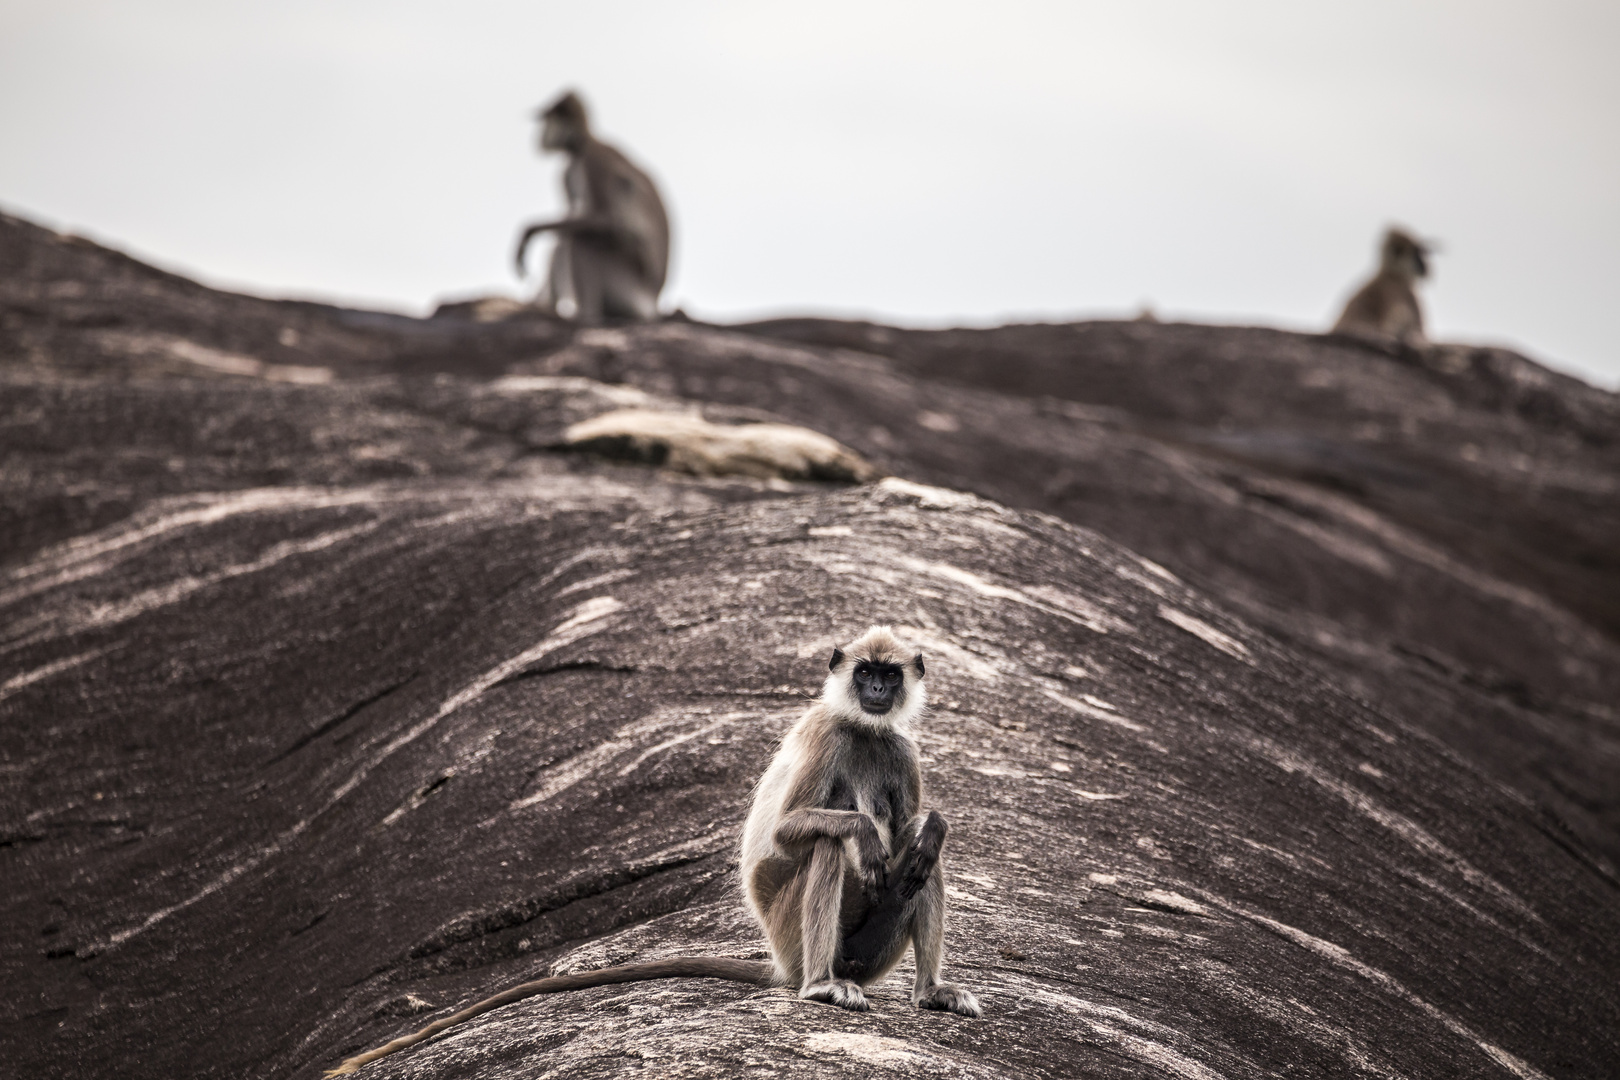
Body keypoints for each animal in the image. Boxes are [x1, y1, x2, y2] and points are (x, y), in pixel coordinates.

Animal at [322, 625, 965, 1075]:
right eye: (864, 672)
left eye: (890, 675)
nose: (877, 689)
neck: (864, 731)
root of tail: (787, 963)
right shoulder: (826, 734)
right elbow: (795, 831)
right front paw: (865, 833)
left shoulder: (900, 750)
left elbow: (916, 827)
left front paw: (932, 823)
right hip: (795, 935)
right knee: (830, 845)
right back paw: (821, 984)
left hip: (868, 955)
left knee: (922, 862)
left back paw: (928, 990)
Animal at [515, 89, 673, 323]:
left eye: (545, 121)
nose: (538, 137)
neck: (582, 144)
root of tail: (652, 305)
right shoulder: (568, 172)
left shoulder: (591, 163)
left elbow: (606, 220)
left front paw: (529, 231)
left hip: (626, 288)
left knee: (582, 239)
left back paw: (585, 316)